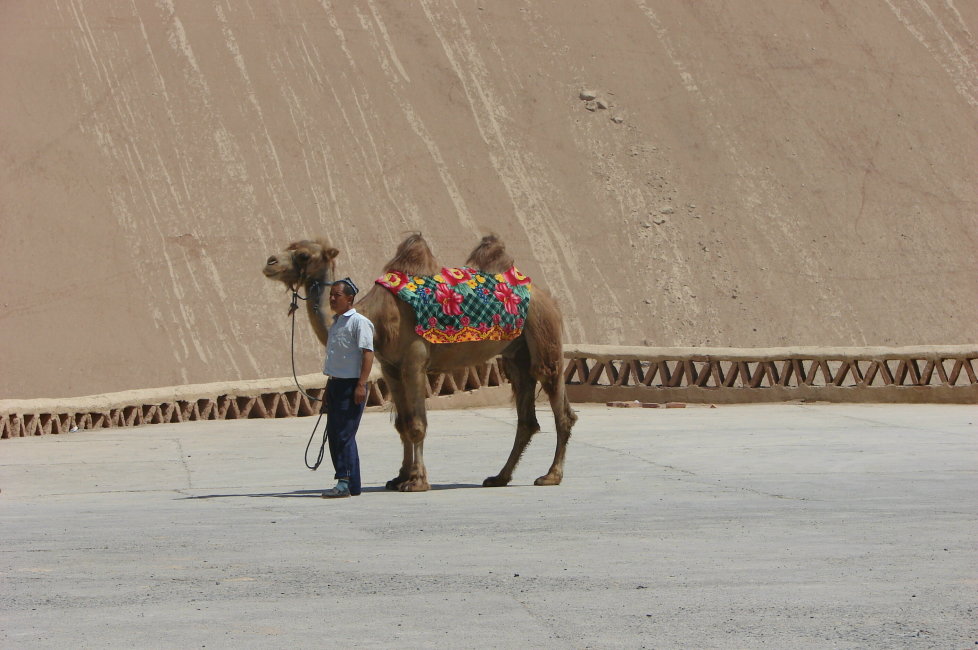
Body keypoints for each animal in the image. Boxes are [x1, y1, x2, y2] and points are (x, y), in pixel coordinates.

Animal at [264, 234, 576, 492]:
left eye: (304, 255)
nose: (270, 262)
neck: (375, 318)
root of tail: (549, 298)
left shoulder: (414, 361)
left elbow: (417, 424)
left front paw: (417, 482)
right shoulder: (389, 367)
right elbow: (402, 424)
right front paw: (399, 477)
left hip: (544, 333)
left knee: (559, 403)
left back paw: (551, 475)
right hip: (516, 354)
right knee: (526, 416)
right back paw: (499, 477)